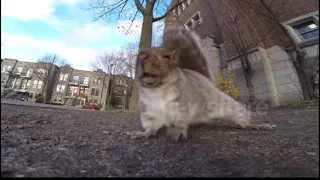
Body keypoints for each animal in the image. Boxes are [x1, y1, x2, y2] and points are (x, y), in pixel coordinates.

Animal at [129, 27, 276, 142]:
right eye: (139, 54)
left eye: (166, 57)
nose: (142, 57)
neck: (157, 89)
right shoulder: (148, 110)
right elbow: (150, 126)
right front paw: (143, 134)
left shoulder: (182, 104)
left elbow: (181, 121)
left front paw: (178, 130)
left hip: (226, 105)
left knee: (241, 119)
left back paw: (257, 125)